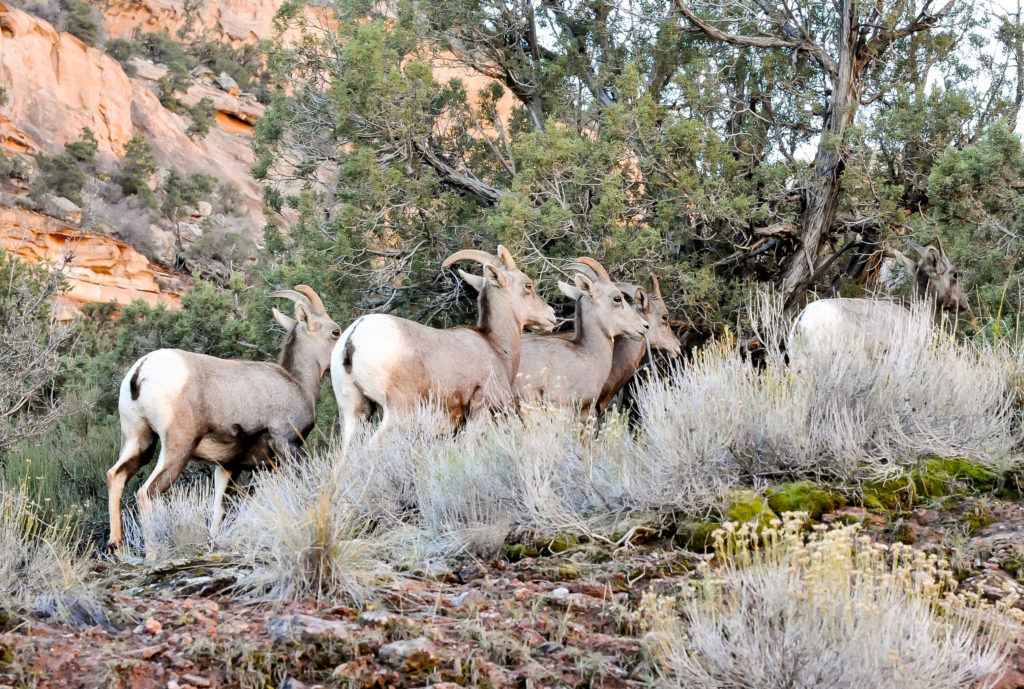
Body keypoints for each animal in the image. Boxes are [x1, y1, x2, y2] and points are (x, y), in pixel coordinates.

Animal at [106, 284, 342, 552]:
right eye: (335, 332)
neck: (297, 383)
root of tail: (140, 371)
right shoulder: (286, 445)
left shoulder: (227, 468)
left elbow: (218, 512)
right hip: (178, 447)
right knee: (147, 492)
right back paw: (154, 553)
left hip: (140, 441)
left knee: (116, 475)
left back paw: (116, 546)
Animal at [331, 244, 557, 448]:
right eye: (528, 285)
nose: (552, 315)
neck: (496, 346)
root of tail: (352, 339)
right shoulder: (480, 411)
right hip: (398, 413)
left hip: (354, 413)